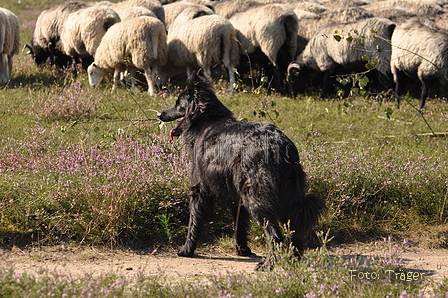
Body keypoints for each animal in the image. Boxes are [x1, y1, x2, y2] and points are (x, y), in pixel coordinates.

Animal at [158, 72, 326, 270]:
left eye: (178, 104)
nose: (159, 114)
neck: (207, 119)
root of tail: (280, 146)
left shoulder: (200, 188)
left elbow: (194, 220)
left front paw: (186, 250)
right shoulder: (236, 194)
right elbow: (239, 223)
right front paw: (242, 249)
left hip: (257, 196)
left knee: (274, 235)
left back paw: (267, 264)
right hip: (288, 193)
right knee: (294, 229)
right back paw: (294, 259)